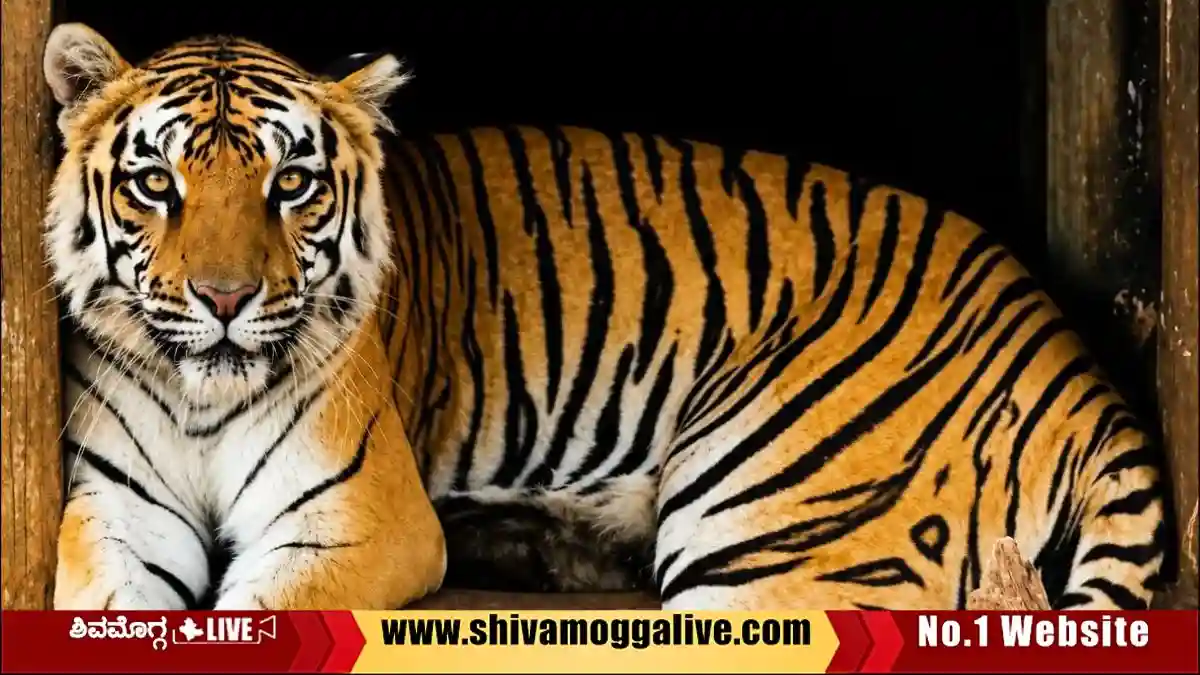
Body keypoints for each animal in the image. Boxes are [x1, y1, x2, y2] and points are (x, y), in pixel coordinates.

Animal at [41, 22, 1170, 612]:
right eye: (156, 183)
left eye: (291, 184)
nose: (225, 300)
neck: (204, 400)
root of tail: (1080, 365)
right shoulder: (117, 506)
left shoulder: (360, 522)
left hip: (772, 533)